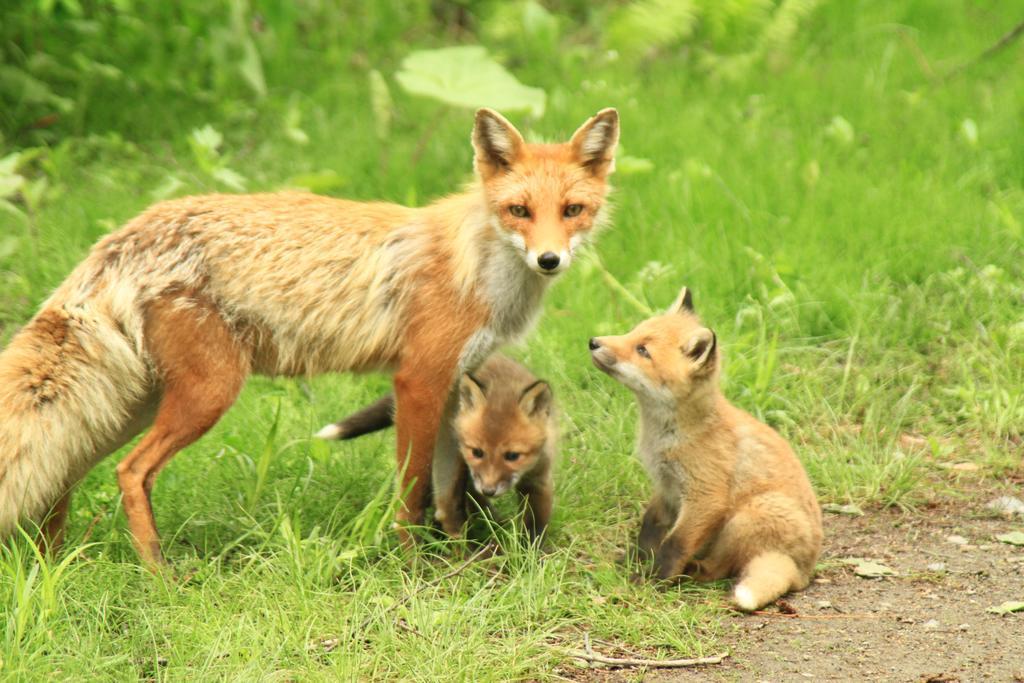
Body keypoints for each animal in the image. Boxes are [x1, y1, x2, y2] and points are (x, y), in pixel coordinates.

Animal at [0, 107, 618, 565]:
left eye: (572, 210)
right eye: (519, 210)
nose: (548, 259)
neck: (478, 270)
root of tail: (128, 232)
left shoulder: (454, 390)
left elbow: (446, 490)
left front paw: (458, 556)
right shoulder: (418, 380)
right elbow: (412, 489)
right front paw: (412, 562)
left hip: (134, 403)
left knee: (66, 471)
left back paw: (53, 563)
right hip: (206, 395)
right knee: (130, 472)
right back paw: (157, 572)